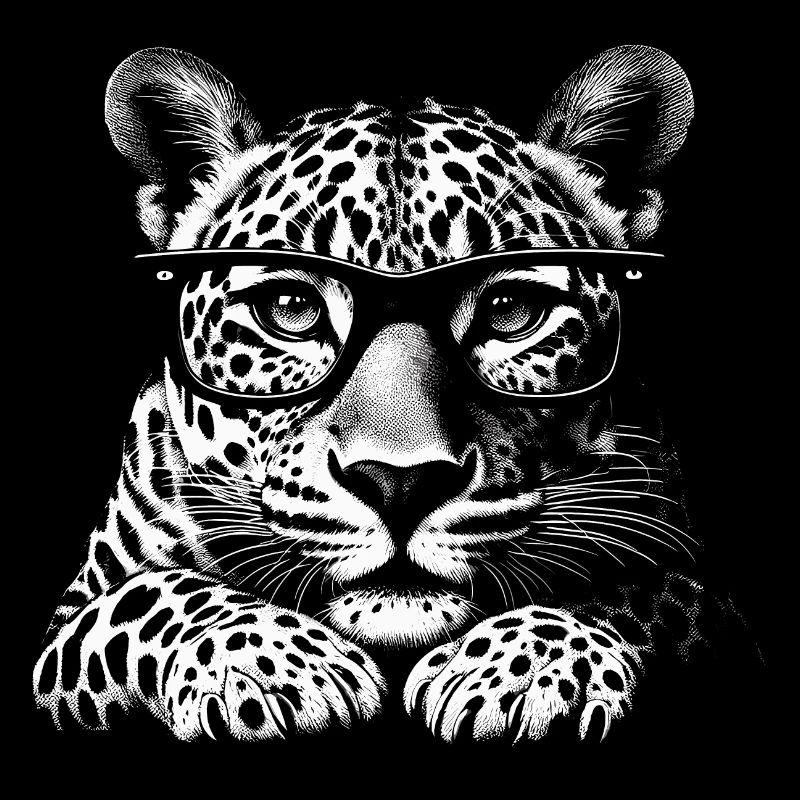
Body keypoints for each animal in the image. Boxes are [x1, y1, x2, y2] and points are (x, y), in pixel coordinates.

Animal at [32, 44, 756, 745]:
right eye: (289, 308)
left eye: (511, 310)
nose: (399, 482)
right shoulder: (65, 629)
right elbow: (149, 596)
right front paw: (278, 667)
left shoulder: (709, 595)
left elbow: (639, 586)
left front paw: (524, 669)